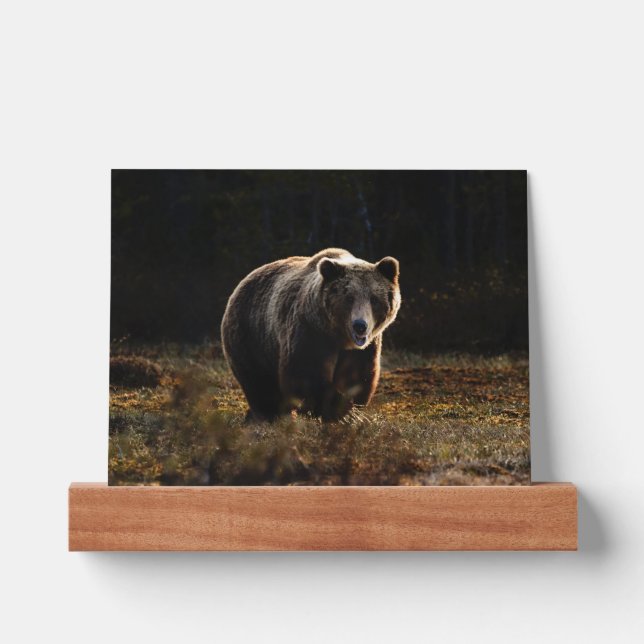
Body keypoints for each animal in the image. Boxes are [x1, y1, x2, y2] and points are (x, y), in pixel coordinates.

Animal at [221, 248, 401, 422]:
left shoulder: (363, 349)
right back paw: (269, 415)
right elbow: (305, 374)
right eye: (349, 298)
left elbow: (357, 376)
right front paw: (344, 413)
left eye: (374, 299)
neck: (339, 336)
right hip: (251, 336)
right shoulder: (310, 332)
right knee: (260, 383)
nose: (360, 326)